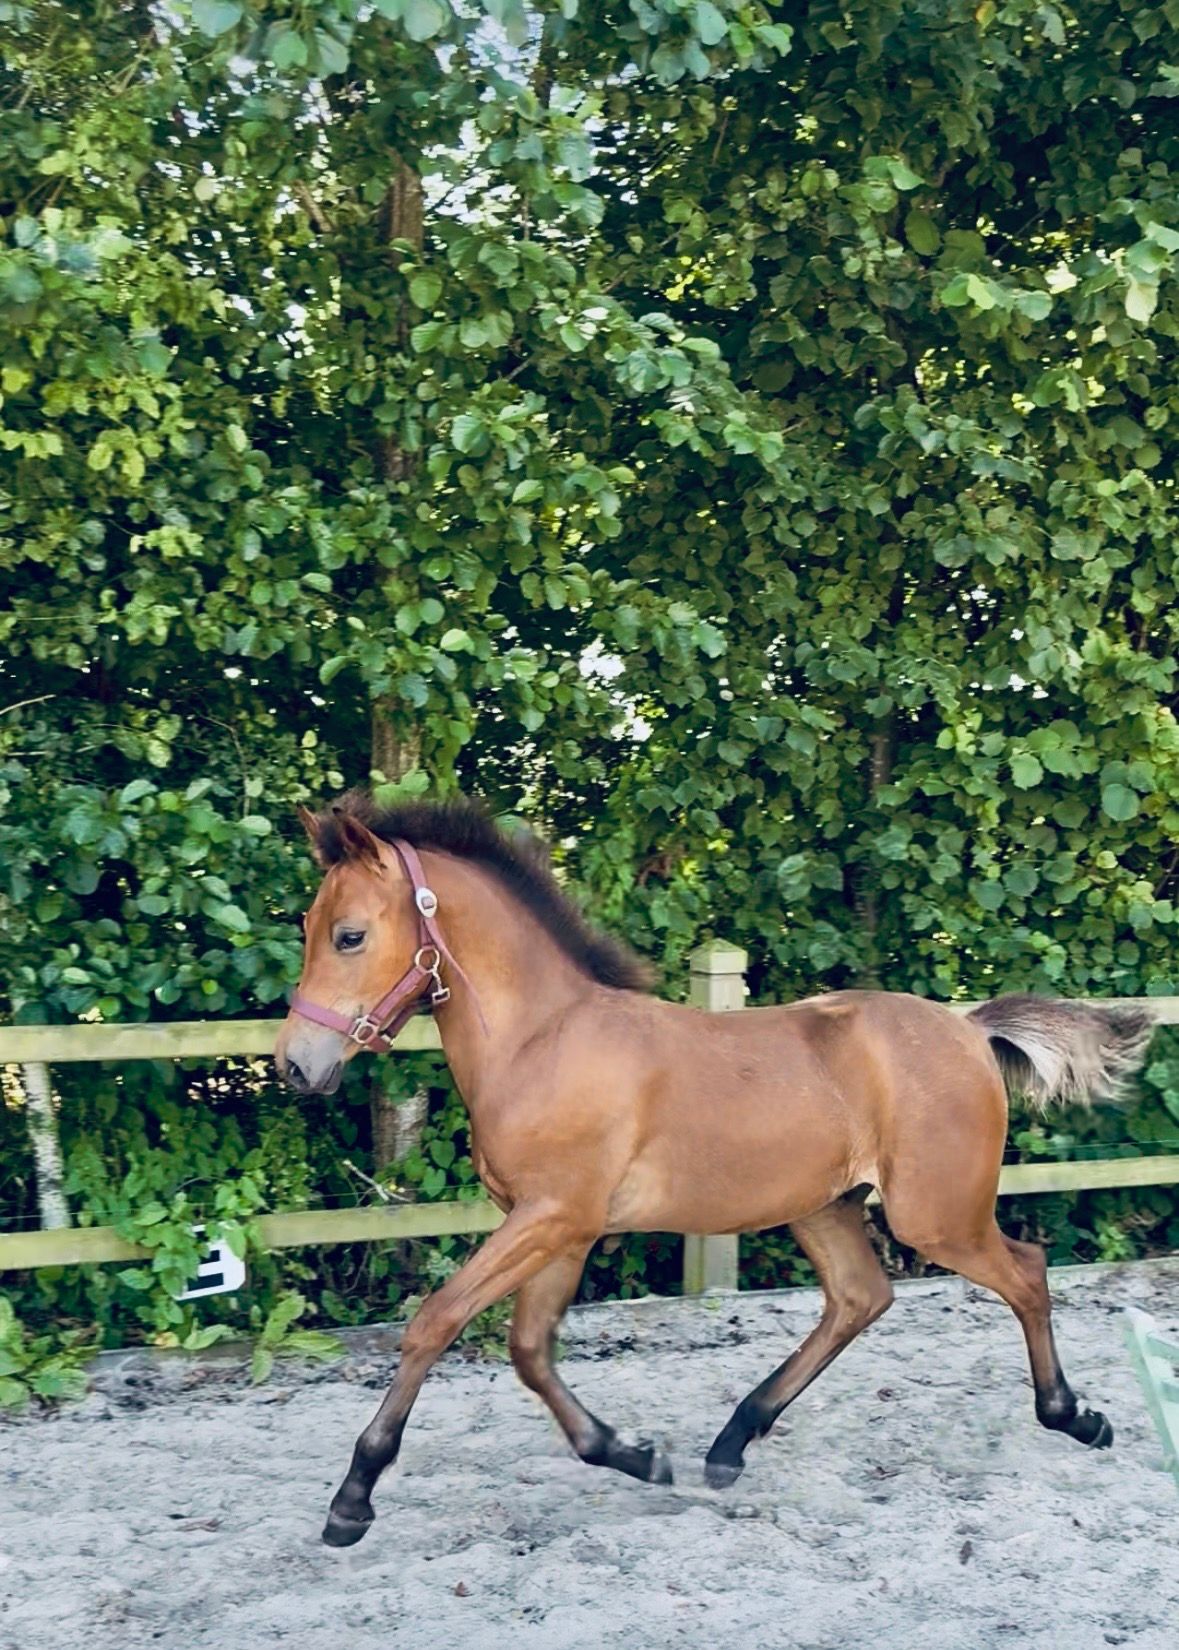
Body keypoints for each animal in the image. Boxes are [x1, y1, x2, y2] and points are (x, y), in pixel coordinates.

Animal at [274, 795, 1154, 1548]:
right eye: (311, 924)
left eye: (349, 935)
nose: (293, 1065)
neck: (542, 1041)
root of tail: (967, 1027)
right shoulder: (559, 1227)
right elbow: (529, 1351)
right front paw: (636, 1455)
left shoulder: (551, 1217)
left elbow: (435, 1320)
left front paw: (352, 1499)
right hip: (823, 1206)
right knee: (859, 1298)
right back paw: (730, 1443)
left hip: (935, 1215)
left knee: (1026, 1272)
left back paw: (1074, 1416)